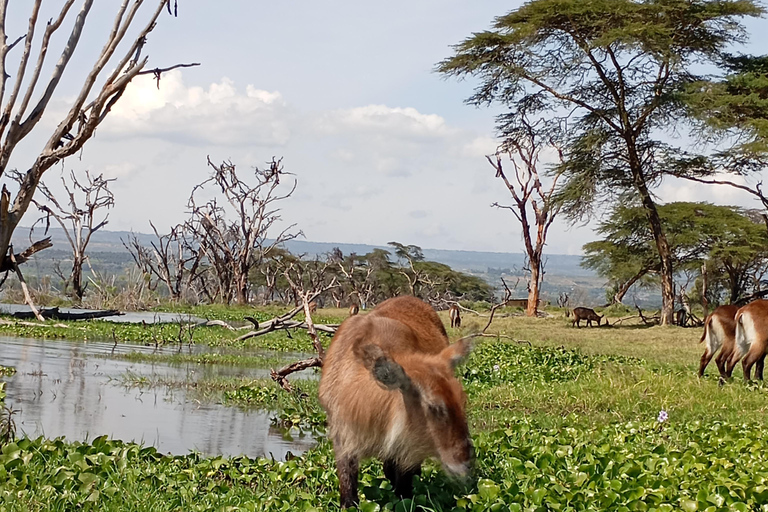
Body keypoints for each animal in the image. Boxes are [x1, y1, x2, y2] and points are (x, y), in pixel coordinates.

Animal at [316, 296, 472, 508]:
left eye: (462, 402)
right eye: (434, 407)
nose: (466, 461)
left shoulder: (406, 448)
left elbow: (403, 489)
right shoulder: (341, 435)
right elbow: (347, 483)